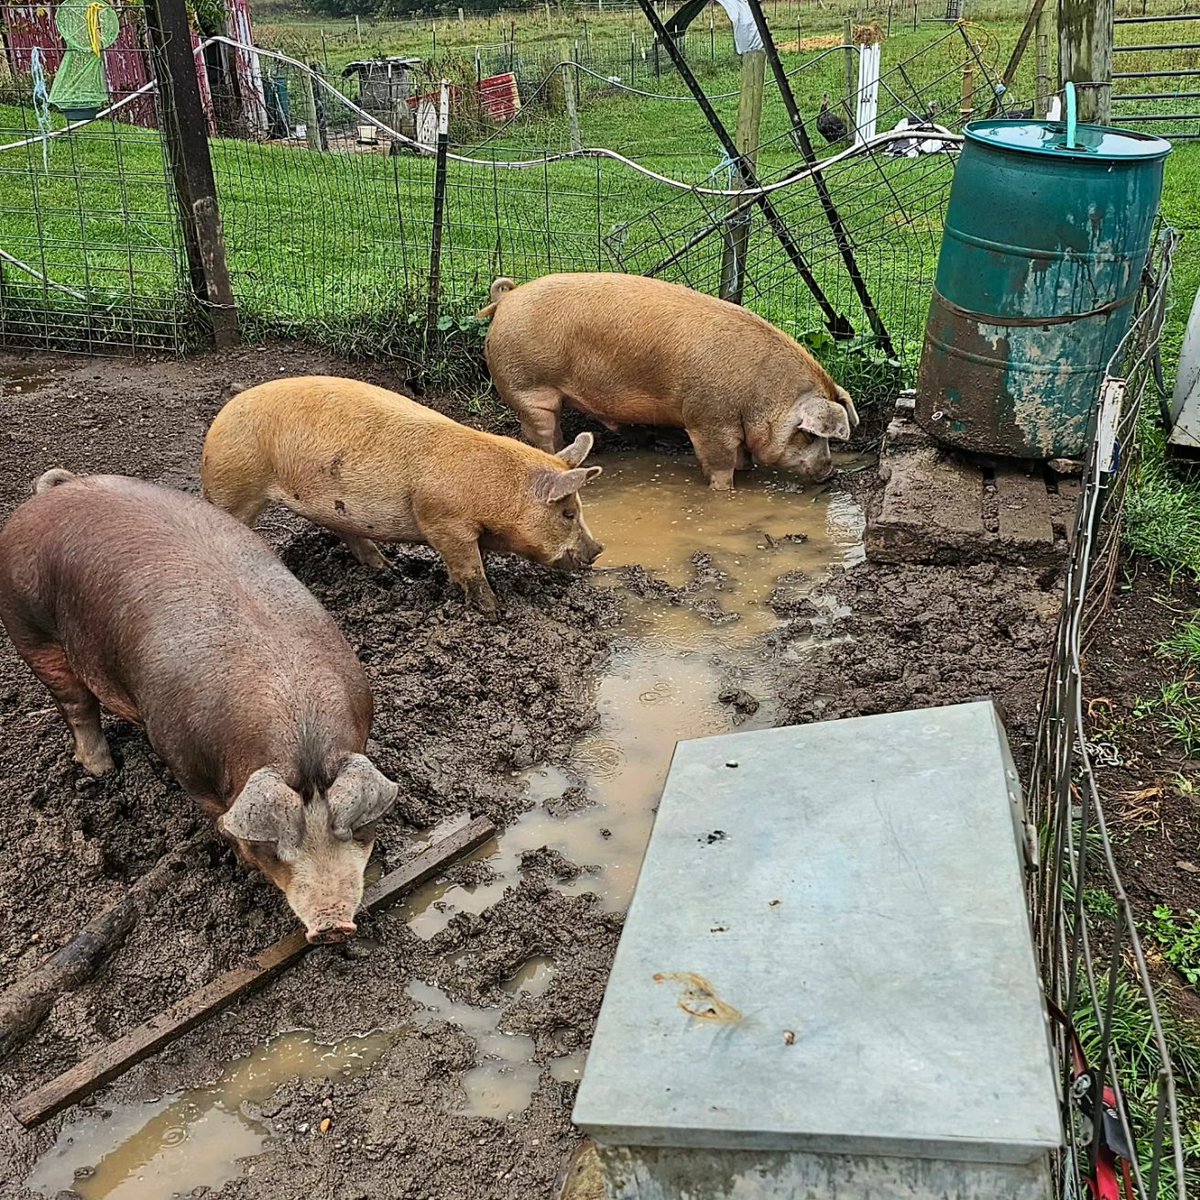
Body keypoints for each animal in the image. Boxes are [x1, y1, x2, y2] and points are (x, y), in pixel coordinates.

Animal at [0, 470, 399, 943]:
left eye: (357, 828)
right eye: (274, 847)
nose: (333, 926)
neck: (299, 730)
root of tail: (51, 493)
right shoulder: (184, 763)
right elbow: (218, 817)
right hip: (31, 629)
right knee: (76, 705)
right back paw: (102, 770)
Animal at [200, 376, 604, 619]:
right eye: (568, 513)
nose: (599, 549)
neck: (496, 489)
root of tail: (222, 416)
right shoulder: (443, 521)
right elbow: (469, 570)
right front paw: (493, 611)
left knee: (349, 534)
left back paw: (389, 570)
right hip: (233, 486)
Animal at [476, 272, 860, 490]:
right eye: (809, 435)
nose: (830, 472)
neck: (760, 394)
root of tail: (507, 298)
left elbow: (743, 458)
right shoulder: (707, 419)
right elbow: (720, 464)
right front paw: (725, 491)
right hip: (528, 387)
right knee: (543, 433)